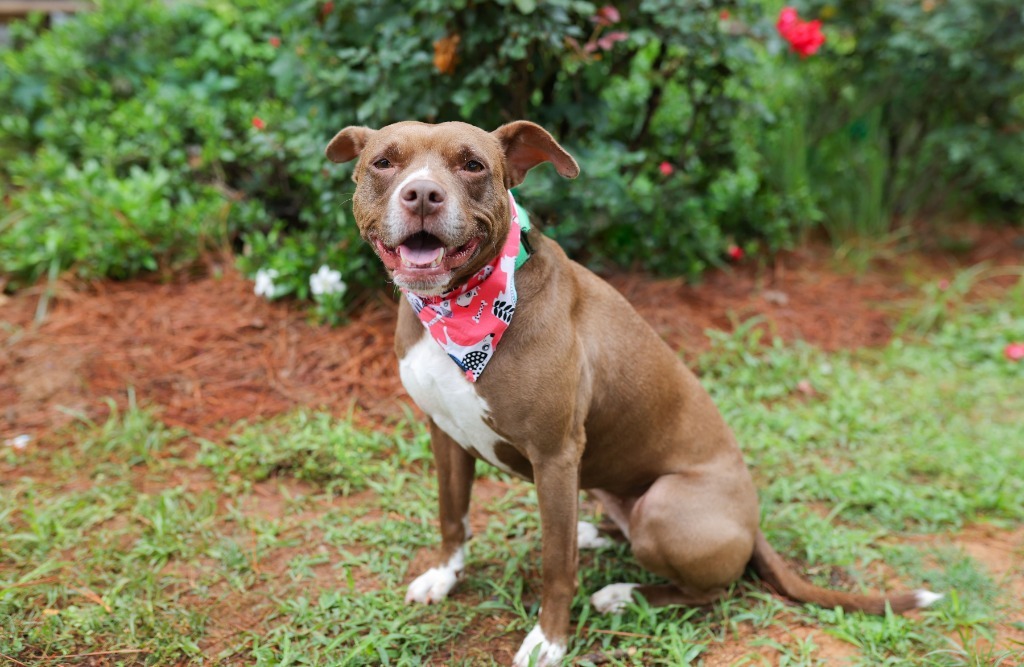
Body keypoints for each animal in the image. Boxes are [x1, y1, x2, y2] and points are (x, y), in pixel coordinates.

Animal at [323, 121, 937, 667]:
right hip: (602, 483)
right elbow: (453, 516)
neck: (458, 311)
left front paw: (550, 641)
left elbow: (556, 567)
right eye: (384, 162)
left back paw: (623, 594)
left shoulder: (555, 456)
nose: (423, 194)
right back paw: (595, 533)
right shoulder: (445, 433)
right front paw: (444, 577)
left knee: (711, 588)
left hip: (664, 508)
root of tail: (754, 524)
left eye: (472, 165)